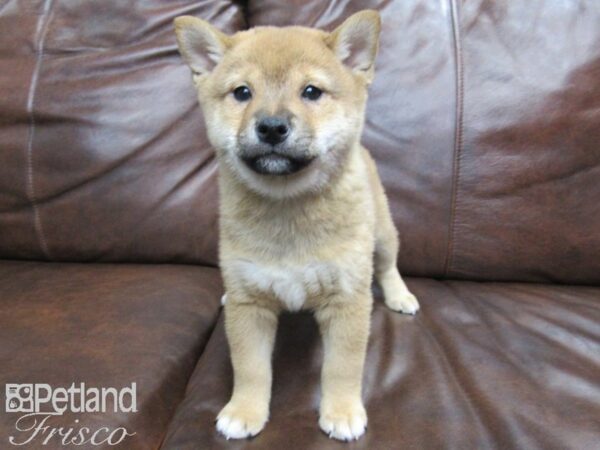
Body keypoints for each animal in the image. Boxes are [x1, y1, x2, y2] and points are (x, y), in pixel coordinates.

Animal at [173, 10, 418, 442]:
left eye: (311, 92)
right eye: (242, 92)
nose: (271, 126)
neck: (286, 207)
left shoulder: (347, 300)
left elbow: (342, 367)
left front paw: (342, 411)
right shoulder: (250, 305)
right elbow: (250, 367)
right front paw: (245, 410)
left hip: (384, 234)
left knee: (388, 266)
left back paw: (399, 295)